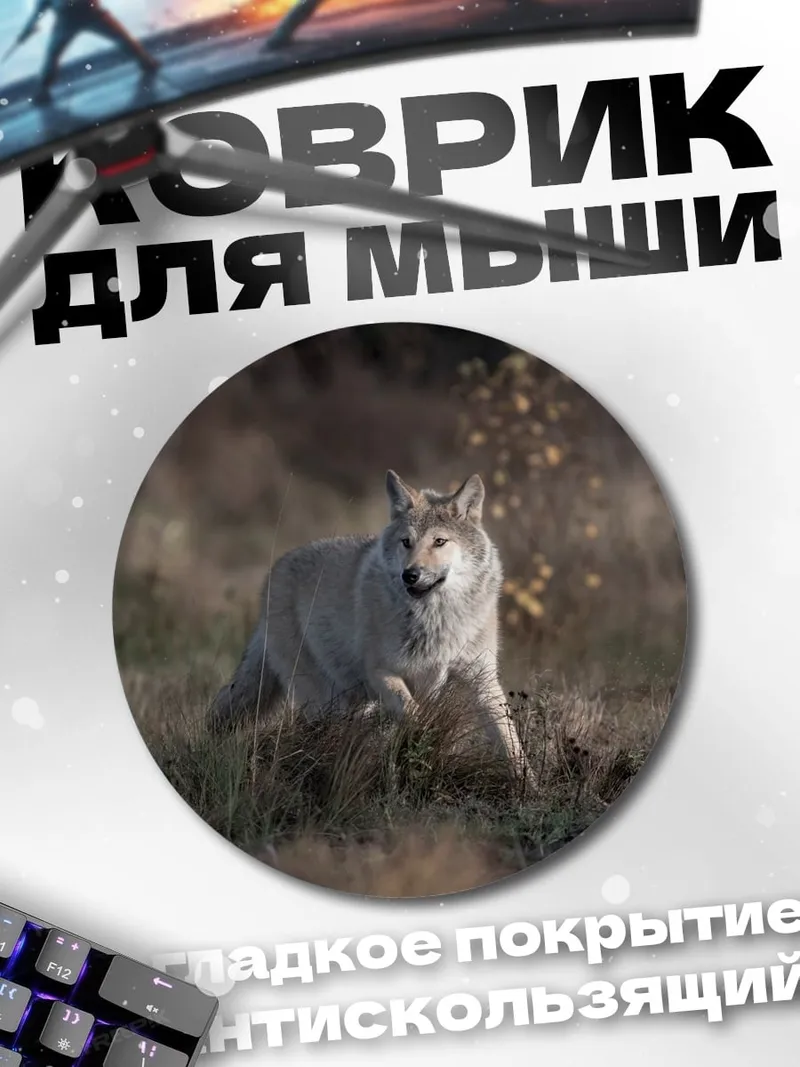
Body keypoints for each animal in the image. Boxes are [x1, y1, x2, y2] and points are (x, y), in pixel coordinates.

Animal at [208, 470, 534, 787]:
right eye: (406, 542)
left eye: (439, 542)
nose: (410, 575)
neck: (436, 619)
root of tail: (272, 574)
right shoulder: (381, 672)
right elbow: (414, 714)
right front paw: (424, 745)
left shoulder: (482, 678)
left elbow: (509, 740)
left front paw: (527, 785)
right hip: (326, 700)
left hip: (352, 702)